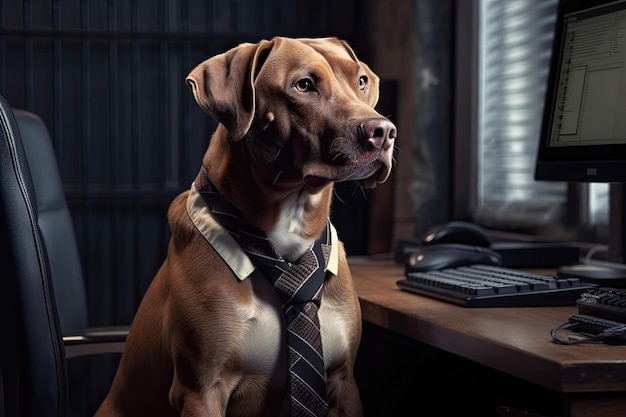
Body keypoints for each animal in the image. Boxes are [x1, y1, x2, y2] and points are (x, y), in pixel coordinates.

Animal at [94, 36, 394, 416]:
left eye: (361, 81)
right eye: (303, 85)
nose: (383, 132)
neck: (288, 234)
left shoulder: (343, 380)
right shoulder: (202, 390)